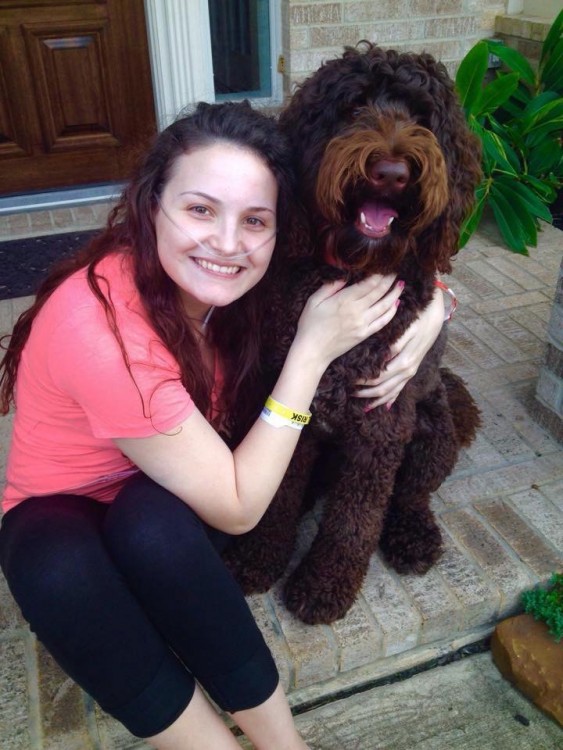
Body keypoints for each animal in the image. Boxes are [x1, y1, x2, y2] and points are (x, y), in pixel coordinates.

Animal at [223, 44, 482, 624]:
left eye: (422, 117)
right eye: (354, 107)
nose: (391, 173)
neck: (352, 272)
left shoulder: (380, 425)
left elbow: (356, 517)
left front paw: (325, 584)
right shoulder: (294, 403)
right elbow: (277, 492)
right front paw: (257, 556)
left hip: (430, 434)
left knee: (410, 495)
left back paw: (413, 535)